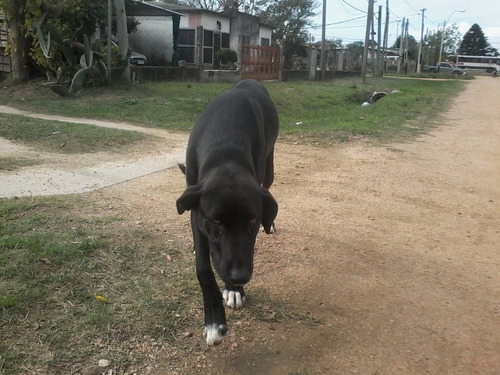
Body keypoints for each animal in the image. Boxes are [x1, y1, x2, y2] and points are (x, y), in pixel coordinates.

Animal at [176, 79, 280, 346]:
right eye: (216, 221)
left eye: (253, 219)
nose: (239, 277)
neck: (225, 150)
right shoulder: (196, 212)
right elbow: (203, 266)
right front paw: (214, 320)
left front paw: (234, 291)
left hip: (270, 164)